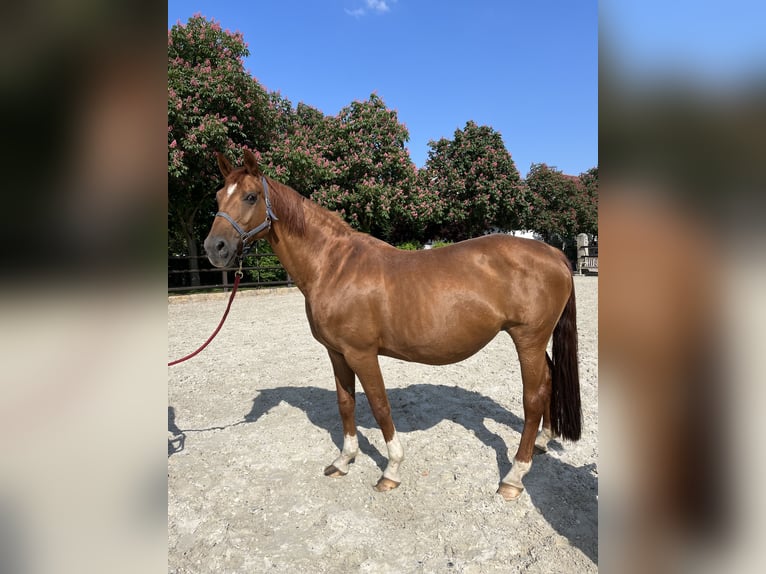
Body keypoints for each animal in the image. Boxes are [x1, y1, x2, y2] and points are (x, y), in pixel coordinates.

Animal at [204, 151, 584, 502]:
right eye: (219, 197)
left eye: (250, 196)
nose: (214, 248)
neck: (334, 266)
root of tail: (554, 253)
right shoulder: (336, 353)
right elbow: (346, 403)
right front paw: (344, 461)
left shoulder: (362, 354)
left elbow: (379, 405)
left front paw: (391, 470)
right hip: (536, 342)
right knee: (549, 382)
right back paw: (542, 442)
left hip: (528, 340)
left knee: (533, 398)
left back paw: (514, 476)